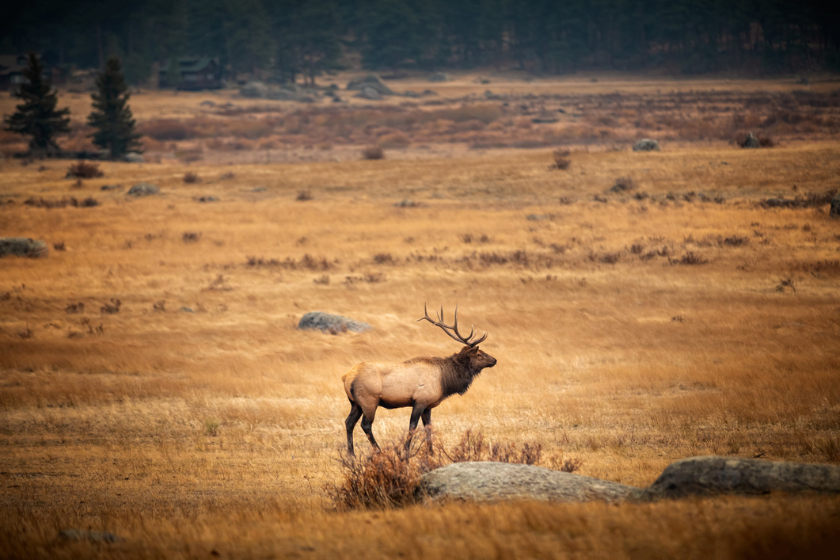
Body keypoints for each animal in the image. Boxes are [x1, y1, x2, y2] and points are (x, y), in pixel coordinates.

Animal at [342, 306, 496, 456]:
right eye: (479, 354)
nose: (494, 360)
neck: (445, 381)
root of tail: (346, 377)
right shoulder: (420, 401)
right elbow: (412, 426)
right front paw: (405, 451)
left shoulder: (428, 406)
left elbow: (428, 427)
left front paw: (431, 452)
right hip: (369, 400)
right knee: (365, 425)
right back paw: (378, 451)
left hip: (355, 403)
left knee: (349, 422)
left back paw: (351, 454)